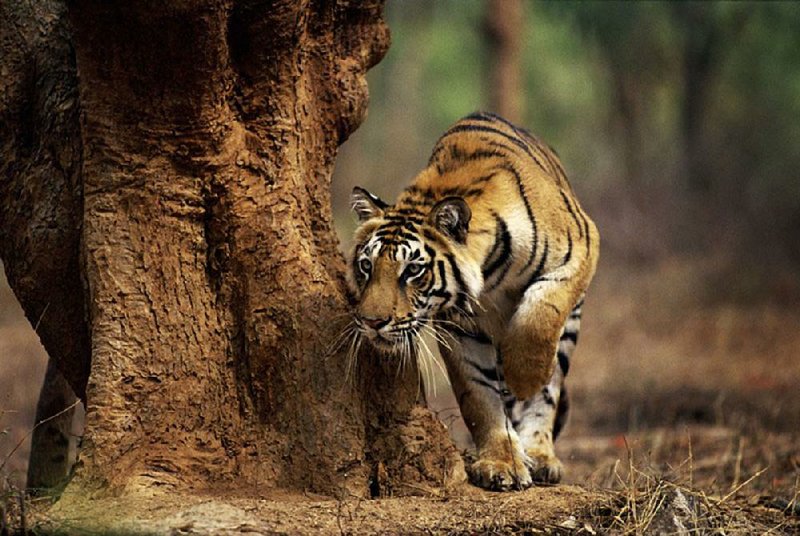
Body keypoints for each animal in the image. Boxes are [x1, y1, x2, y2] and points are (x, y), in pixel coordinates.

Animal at [346, 112, 600, 490]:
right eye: (367, 266)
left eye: (412, 270)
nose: (371, 322)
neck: (490, 277)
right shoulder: (460, 327)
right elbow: (479, 397)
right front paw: (502, 464)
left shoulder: (583, 245)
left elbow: (538, 317)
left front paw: (524, 377)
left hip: (570, 329)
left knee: (550, 389)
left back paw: (541, 455)